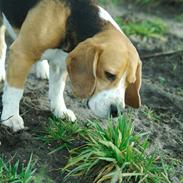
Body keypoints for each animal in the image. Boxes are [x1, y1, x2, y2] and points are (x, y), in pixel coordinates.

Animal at [0, 0, 142, 132]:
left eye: (130, 83)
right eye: (109, 75)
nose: (116, 112)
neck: (71, 18)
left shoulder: (60, 63)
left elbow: (58, 88)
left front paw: (59, 110)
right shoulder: (22, 54)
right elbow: (15, 91)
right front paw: (11, 117)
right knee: (2, 46)